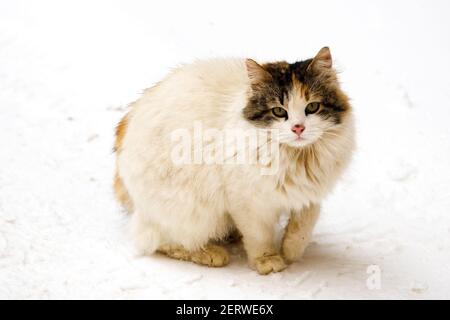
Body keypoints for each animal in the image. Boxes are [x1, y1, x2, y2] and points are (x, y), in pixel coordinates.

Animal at [113, 47, 356, 276]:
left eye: (312, 107)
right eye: (279, 111)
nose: (298, 128)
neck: (298, 157)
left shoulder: (311, 193)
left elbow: (304, 224)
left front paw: (291, 251)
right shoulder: (246, 201)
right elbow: (259, 236)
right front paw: (268, 261)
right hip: (195, 212)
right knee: (158, 241)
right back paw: (210, 253)